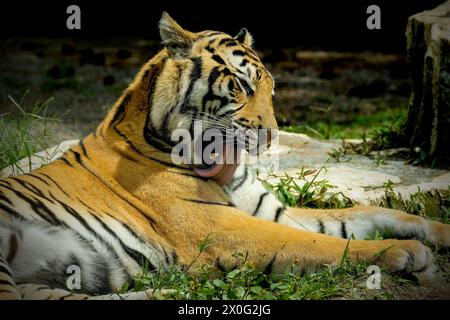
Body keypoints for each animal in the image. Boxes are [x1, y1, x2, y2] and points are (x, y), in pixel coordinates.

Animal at [0, 11, 448, 298]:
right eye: (240, 85)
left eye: (271, 89)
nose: (272, 135)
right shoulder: (219, 226)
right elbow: (319, 244)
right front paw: (401, 252)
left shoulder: (273, 211)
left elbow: (368, 215)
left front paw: (438, 232)